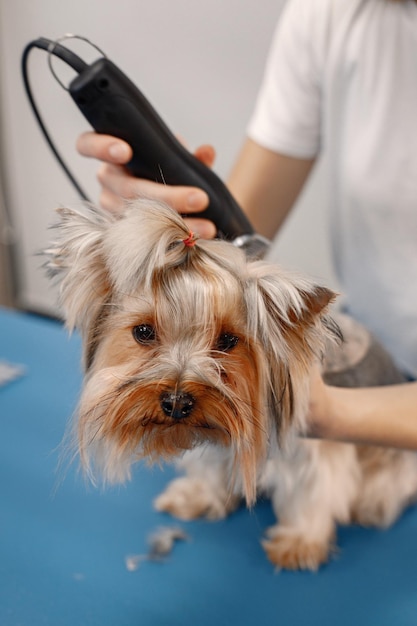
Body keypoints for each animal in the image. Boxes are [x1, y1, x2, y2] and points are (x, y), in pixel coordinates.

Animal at [44, 197, 416, 568]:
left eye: (227, 341)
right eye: (144, 332)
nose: (176, 402)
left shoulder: (315, 452)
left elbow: (310, 492)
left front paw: (299, 542)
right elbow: (209, 469)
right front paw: (198, 497)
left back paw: (370, 507)